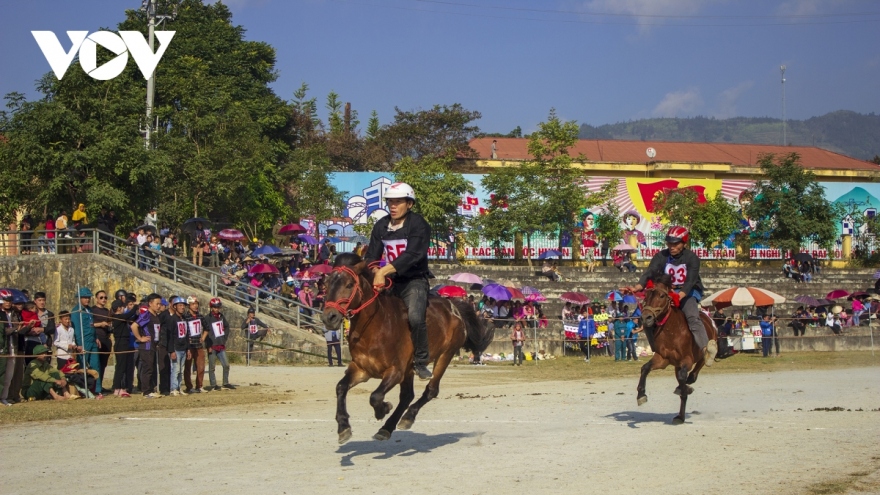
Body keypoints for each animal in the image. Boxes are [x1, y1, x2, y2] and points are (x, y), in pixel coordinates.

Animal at [322, 254, 496, 444]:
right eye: (327, 284)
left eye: (349, 285)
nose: (329, 317)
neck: (375, 326)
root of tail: (454, 307)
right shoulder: (361, 369)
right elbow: (341, 387)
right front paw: (343, 427)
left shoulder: (395, 371)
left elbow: (375, 396)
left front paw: (383, 409)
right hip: (409, 369)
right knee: (407, 396)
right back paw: (387, 428)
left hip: (445, 354)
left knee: (431, 390)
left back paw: (407, 417)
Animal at [636, 274, 720, 424]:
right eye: (646, 295)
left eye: (662, 295)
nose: (646, 317)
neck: (672, 331)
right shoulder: (662, 359)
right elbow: (645, 368)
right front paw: (641, 395)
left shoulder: (686, 359)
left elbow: (683, 378)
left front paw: (684, 390)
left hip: (703, 351)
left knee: (698, 367)